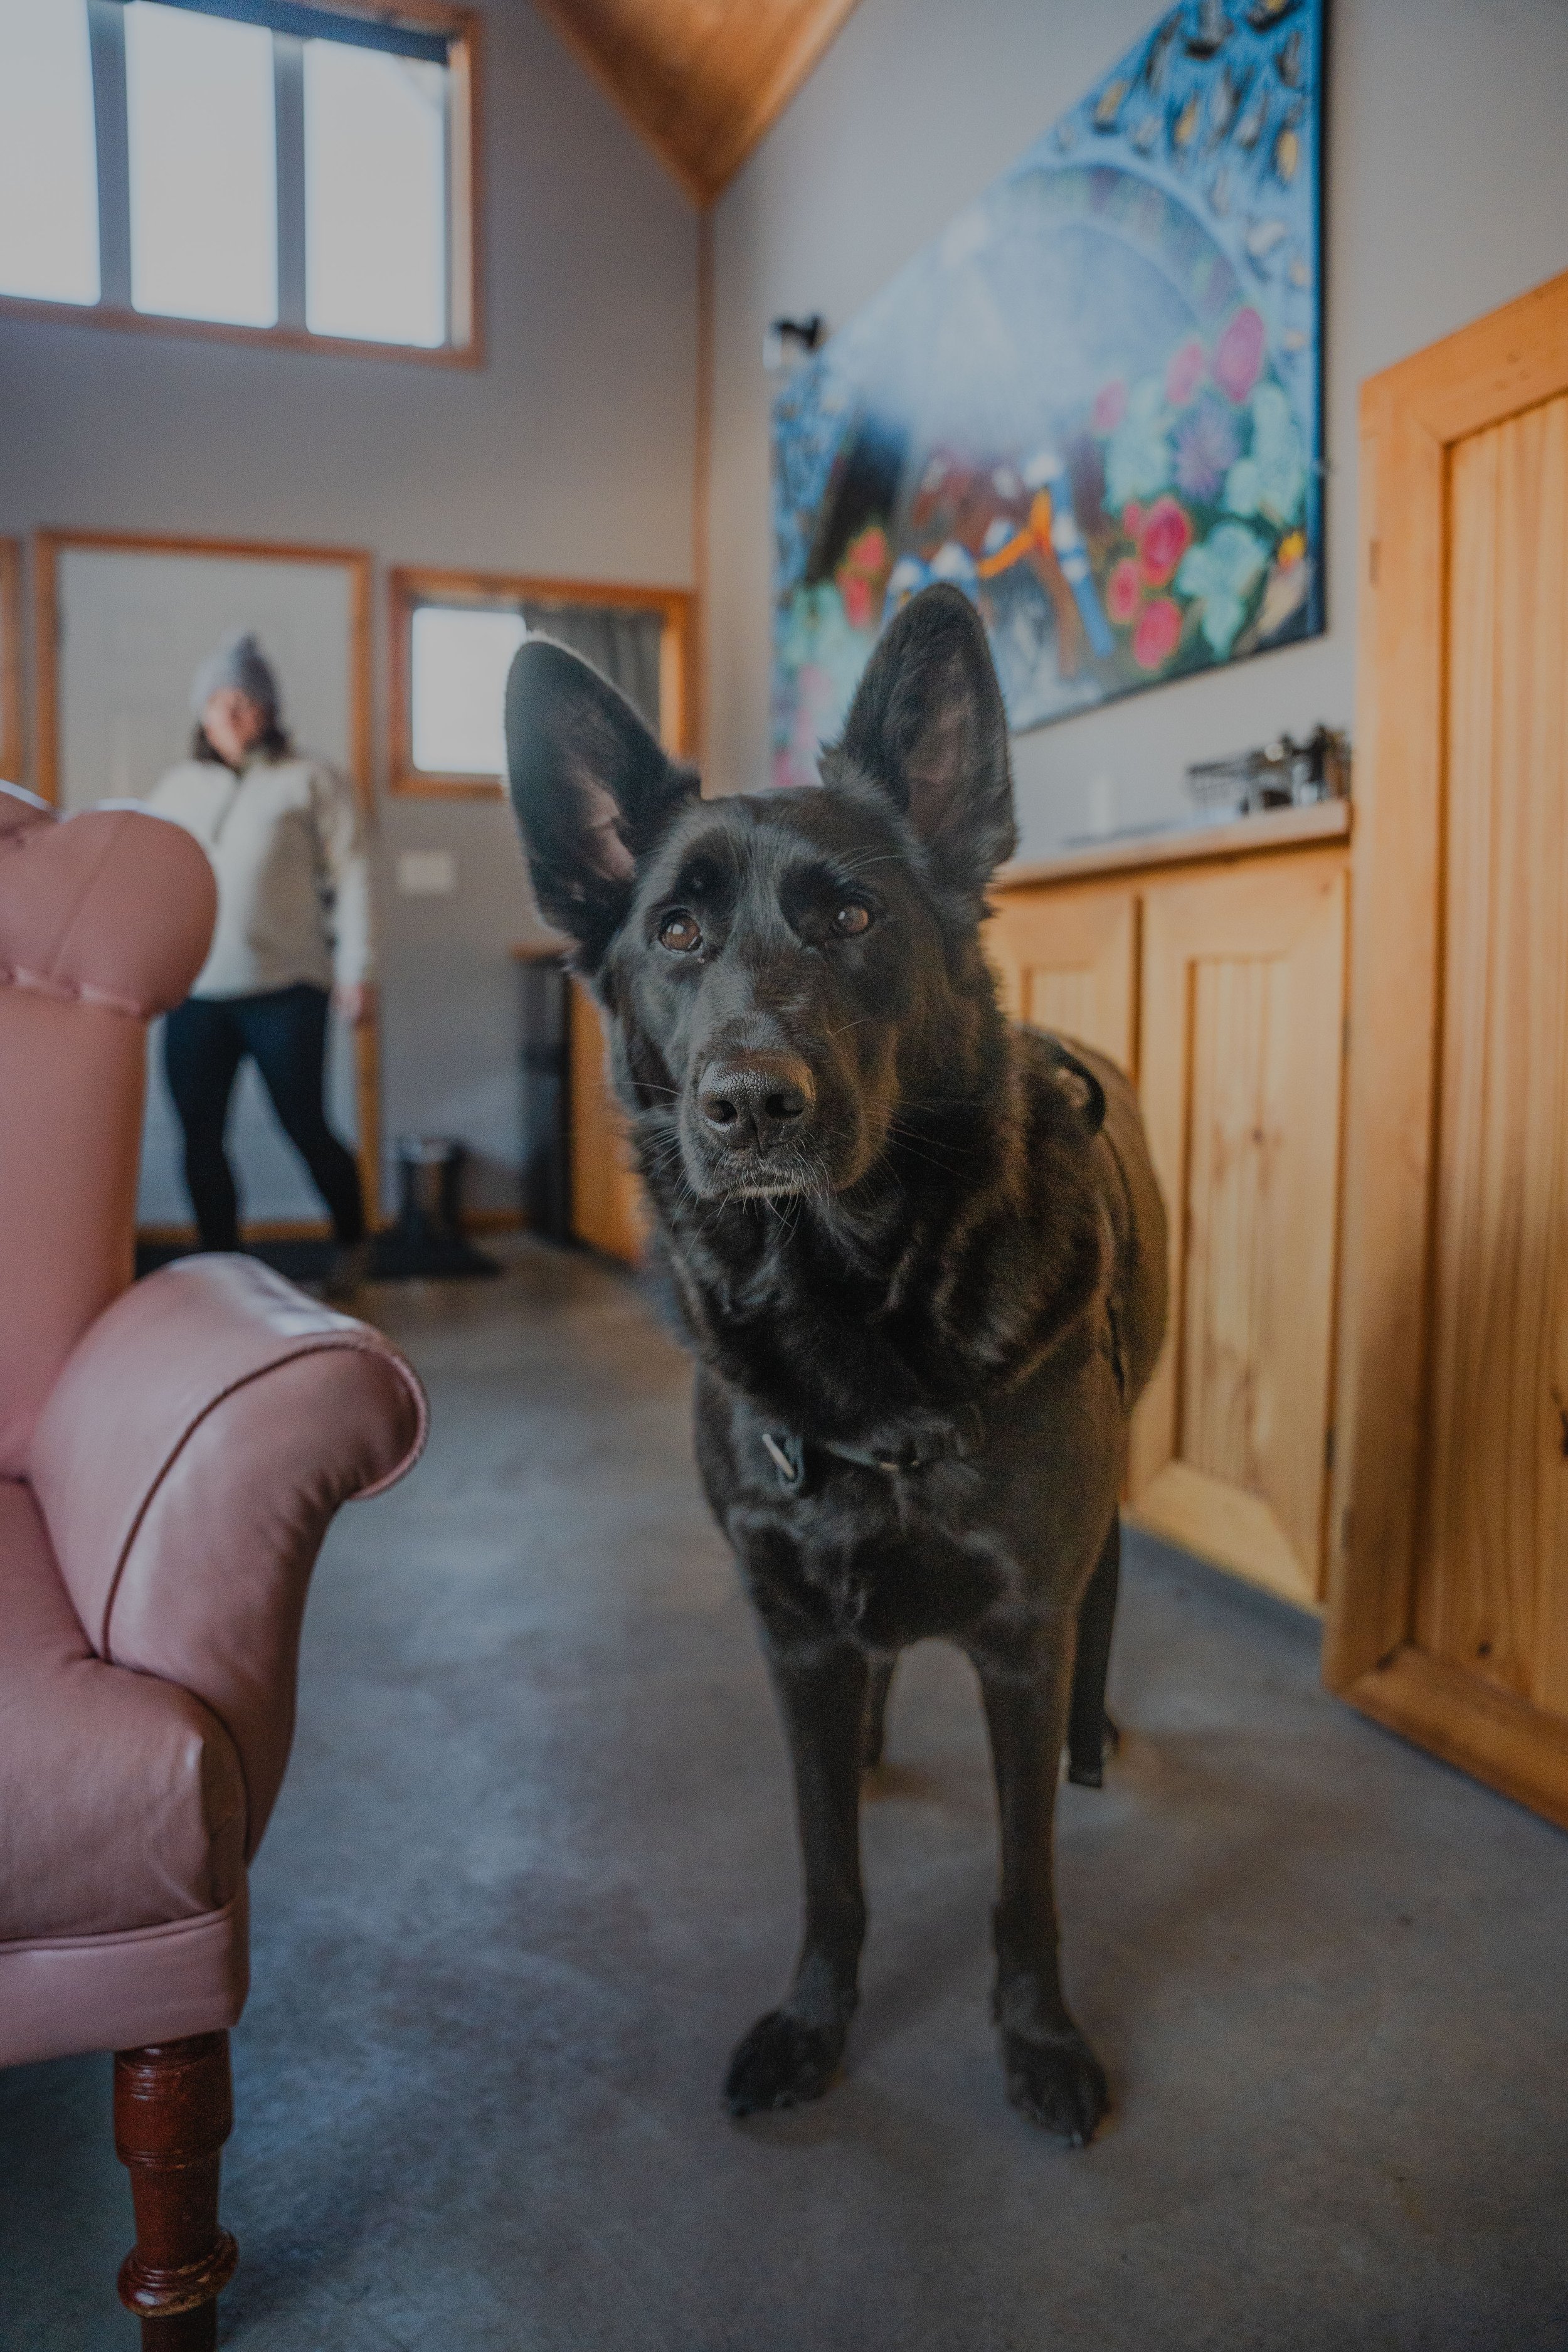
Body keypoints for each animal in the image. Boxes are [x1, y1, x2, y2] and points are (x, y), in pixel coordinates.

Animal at [503, 593, 1166, 2154]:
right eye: (675, 930)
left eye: (852, 918)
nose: (746, 1104)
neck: (849, 1312)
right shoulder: (791, 1631)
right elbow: (826, 1868)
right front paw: (813, 2025)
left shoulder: (1017, 1635)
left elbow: (1023, 1884)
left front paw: (1039, 2039)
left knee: (1104, 1602)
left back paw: (1093, 1741)